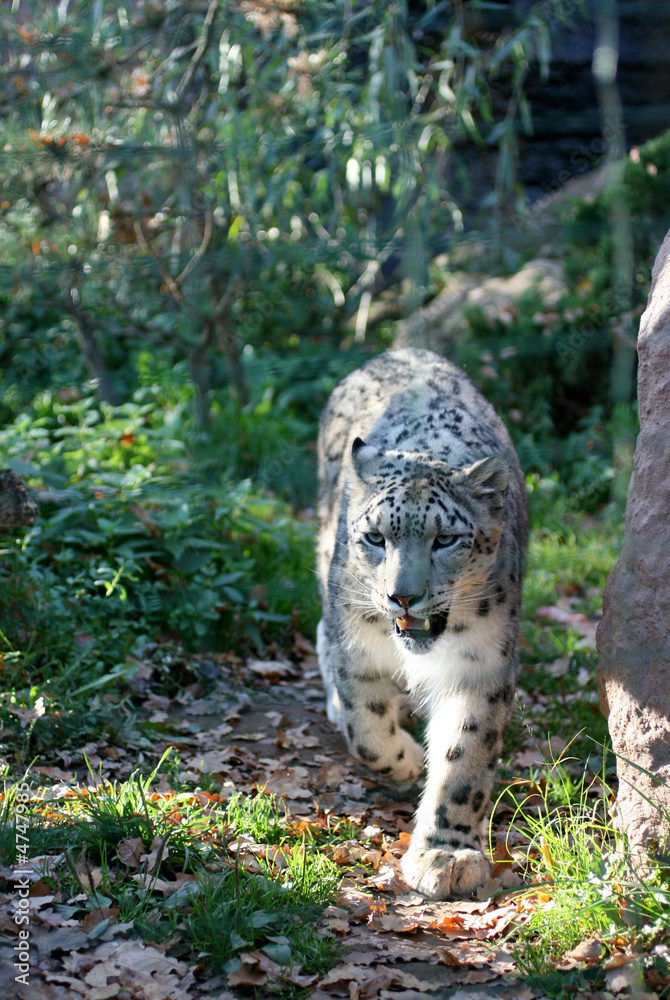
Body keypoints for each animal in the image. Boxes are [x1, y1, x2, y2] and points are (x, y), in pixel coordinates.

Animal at [316, 348, 527, 899]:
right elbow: (366, 728)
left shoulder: (481, 665)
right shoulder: (357, 646)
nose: (402, 596)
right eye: (375, 536)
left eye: (446, 539)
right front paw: (408, 760)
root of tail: (401, 351)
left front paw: (446, 856)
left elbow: (464, 757)